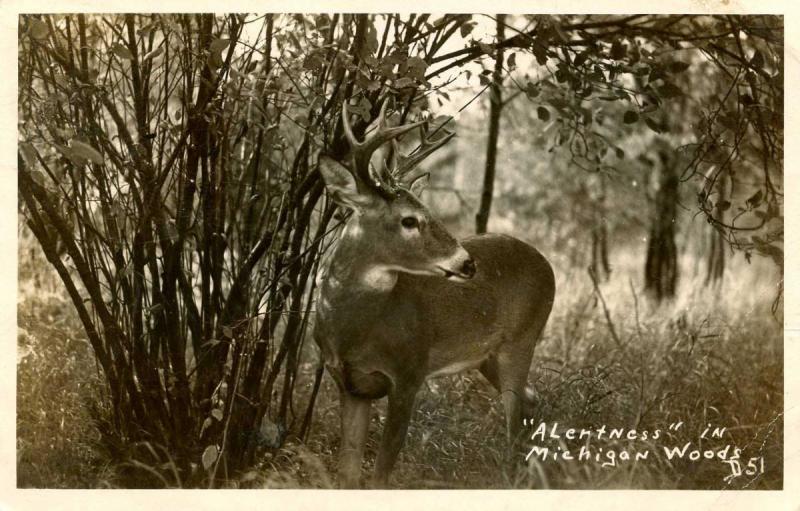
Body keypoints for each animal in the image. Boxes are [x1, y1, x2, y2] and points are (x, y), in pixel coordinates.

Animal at [314, 99, 556, 488]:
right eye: (409, 220)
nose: (467, 263)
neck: (353, 330)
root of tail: (547, 263)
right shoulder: (349, 385)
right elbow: (347, 474)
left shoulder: (408, 374)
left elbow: (380, 474)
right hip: (487, 357)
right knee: (532, 402)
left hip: (522, 340)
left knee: (514, 420)